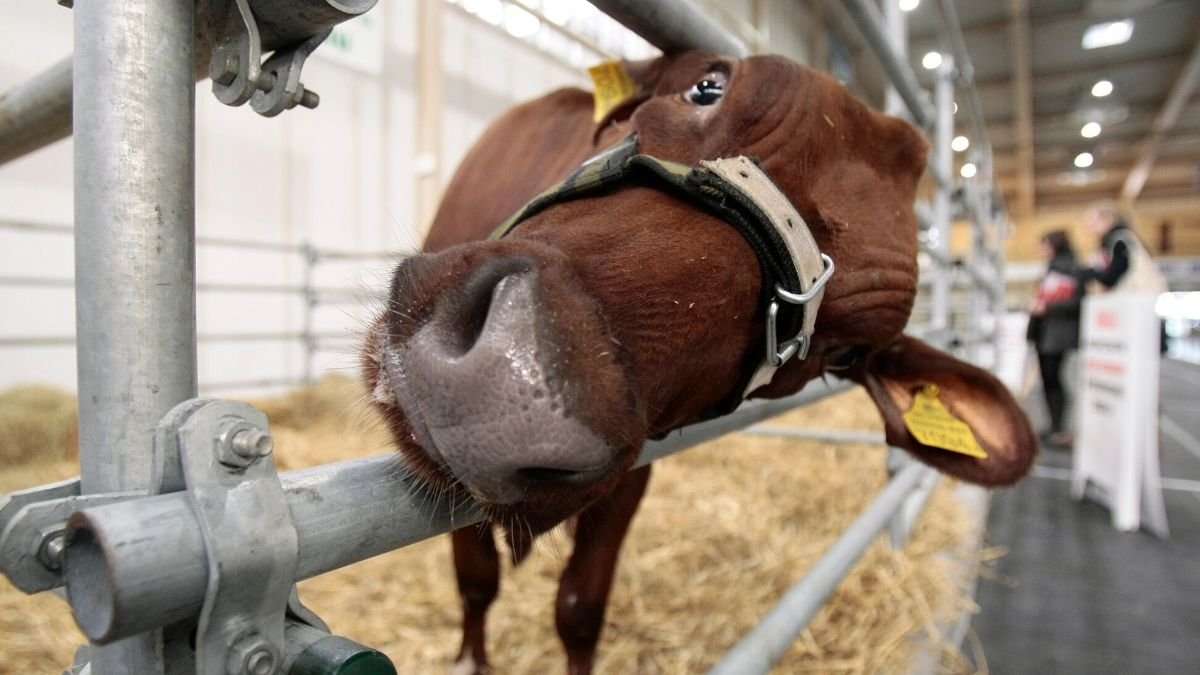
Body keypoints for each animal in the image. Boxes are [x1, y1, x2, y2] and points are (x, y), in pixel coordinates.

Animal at [362, 49, 1032, 667]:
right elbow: (476, 582)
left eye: (841, 352)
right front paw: (470, 659)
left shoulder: (631, 473)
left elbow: (580, 608)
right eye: (708, 88)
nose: (514, 379)